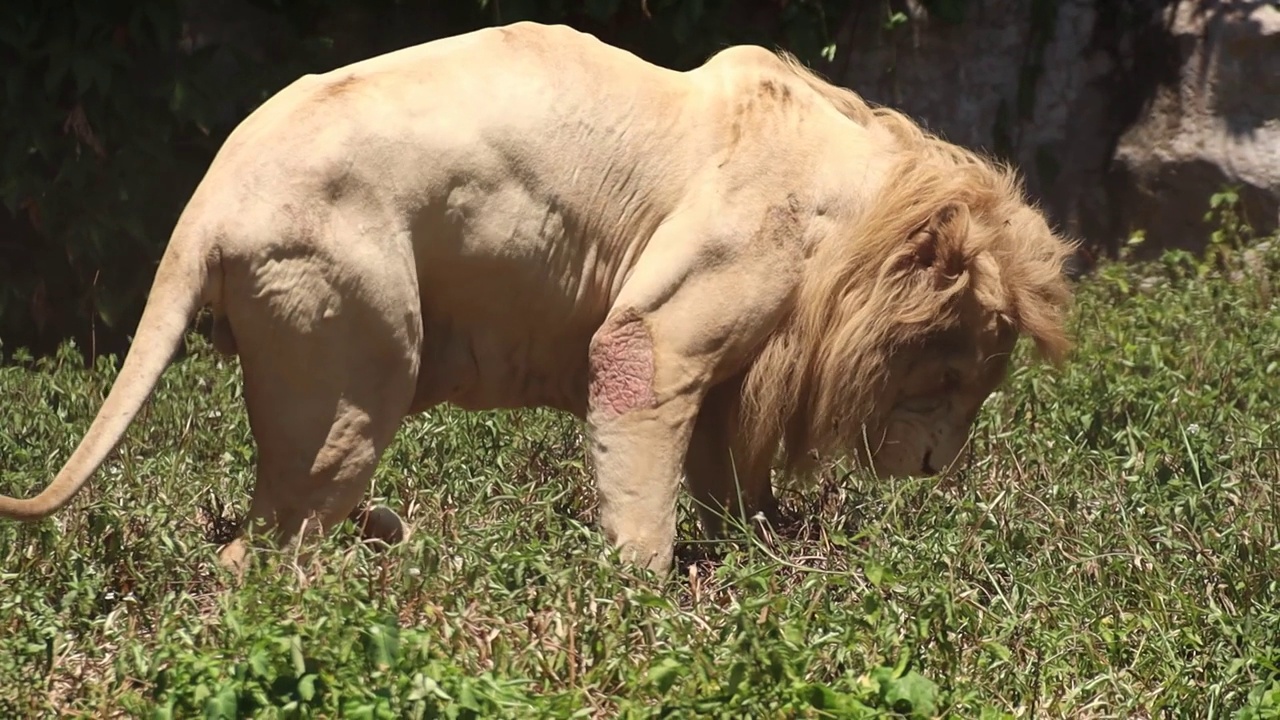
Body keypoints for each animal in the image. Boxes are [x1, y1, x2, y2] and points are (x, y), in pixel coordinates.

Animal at [0, 19, 1075, 573]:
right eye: (957, 373)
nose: (938, 468)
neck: (859, 212)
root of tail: (206, 198)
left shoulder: (737, 375)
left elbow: (730, 475)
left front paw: (778, 550)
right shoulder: (669, 322)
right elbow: (641, 422)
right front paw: (643, 598)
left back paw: (386, 540)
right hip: (354, 356)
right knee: (264, 552)